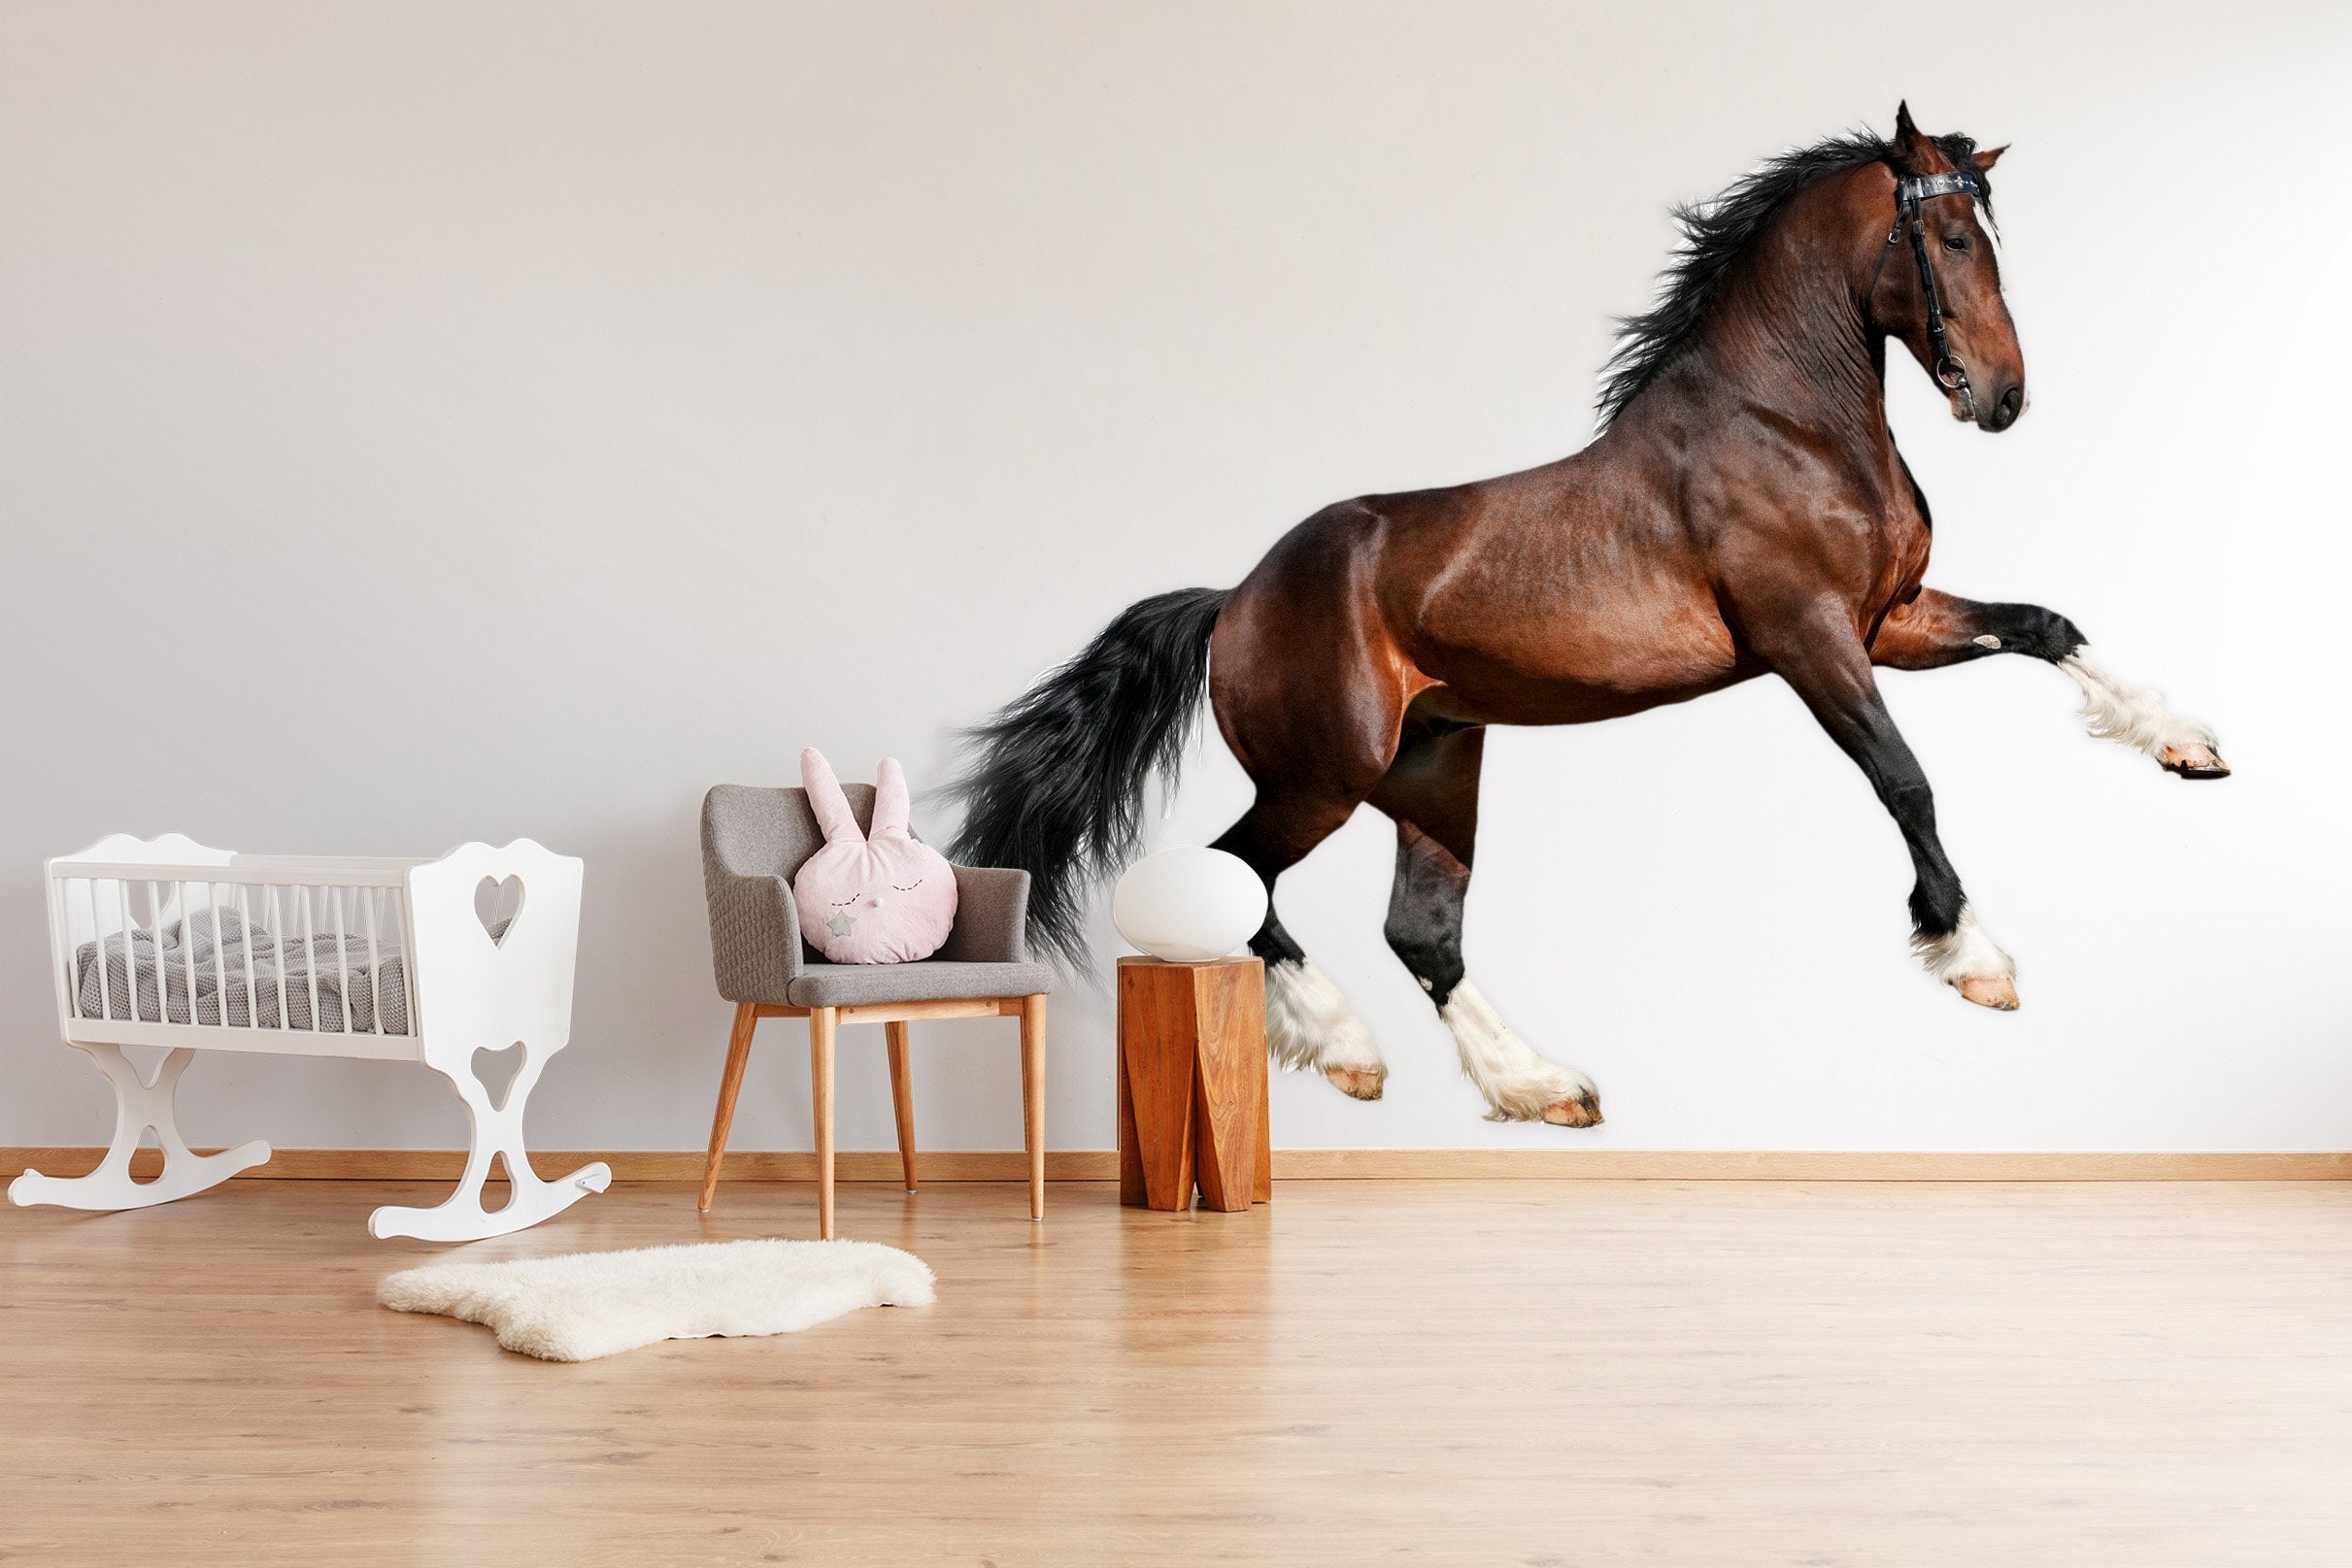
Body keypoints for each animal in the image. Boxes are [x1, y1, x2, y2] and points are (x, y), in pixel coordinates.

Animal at [946, 104, 2228, 1128]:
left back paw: (1539, 1084)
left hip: (1433, 767)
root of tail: (1234, 599)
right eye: (1950, 238)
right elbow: (1905, 780)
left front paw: (2188, 746)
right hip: (1323, 775)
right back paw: (1352, 1052)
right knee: (1242, 882)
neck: (1788, 422)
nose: (2003, 397)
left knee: (1422, 933)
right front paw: (1972, 957)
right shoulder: (1811, 640)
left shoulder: (1890, 623)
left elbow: (2048, 626)